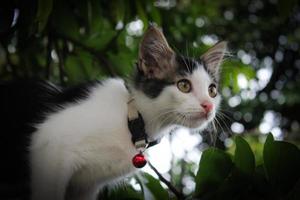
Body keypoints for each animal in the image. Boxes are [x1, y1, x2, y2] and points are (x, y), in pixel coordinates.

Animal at [0, 25, 225, 200]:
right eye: (184, 85)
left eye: (212, 90)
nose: (208, 106)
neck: (132, 120)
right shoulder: (49, 148)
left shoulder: (86, 186)